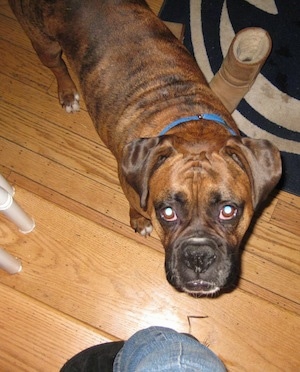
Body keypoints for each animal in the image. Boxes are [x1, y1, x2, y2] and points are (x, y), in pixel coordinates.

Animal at [8, 0, 282, 296]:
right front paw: (140, 221)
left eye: (228, 211)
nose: (198, 257)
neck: (190, 121)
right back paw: (68, 93)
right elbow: (135, 205)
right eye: (167, 213)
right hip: (44, 43)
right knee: (57, 66)